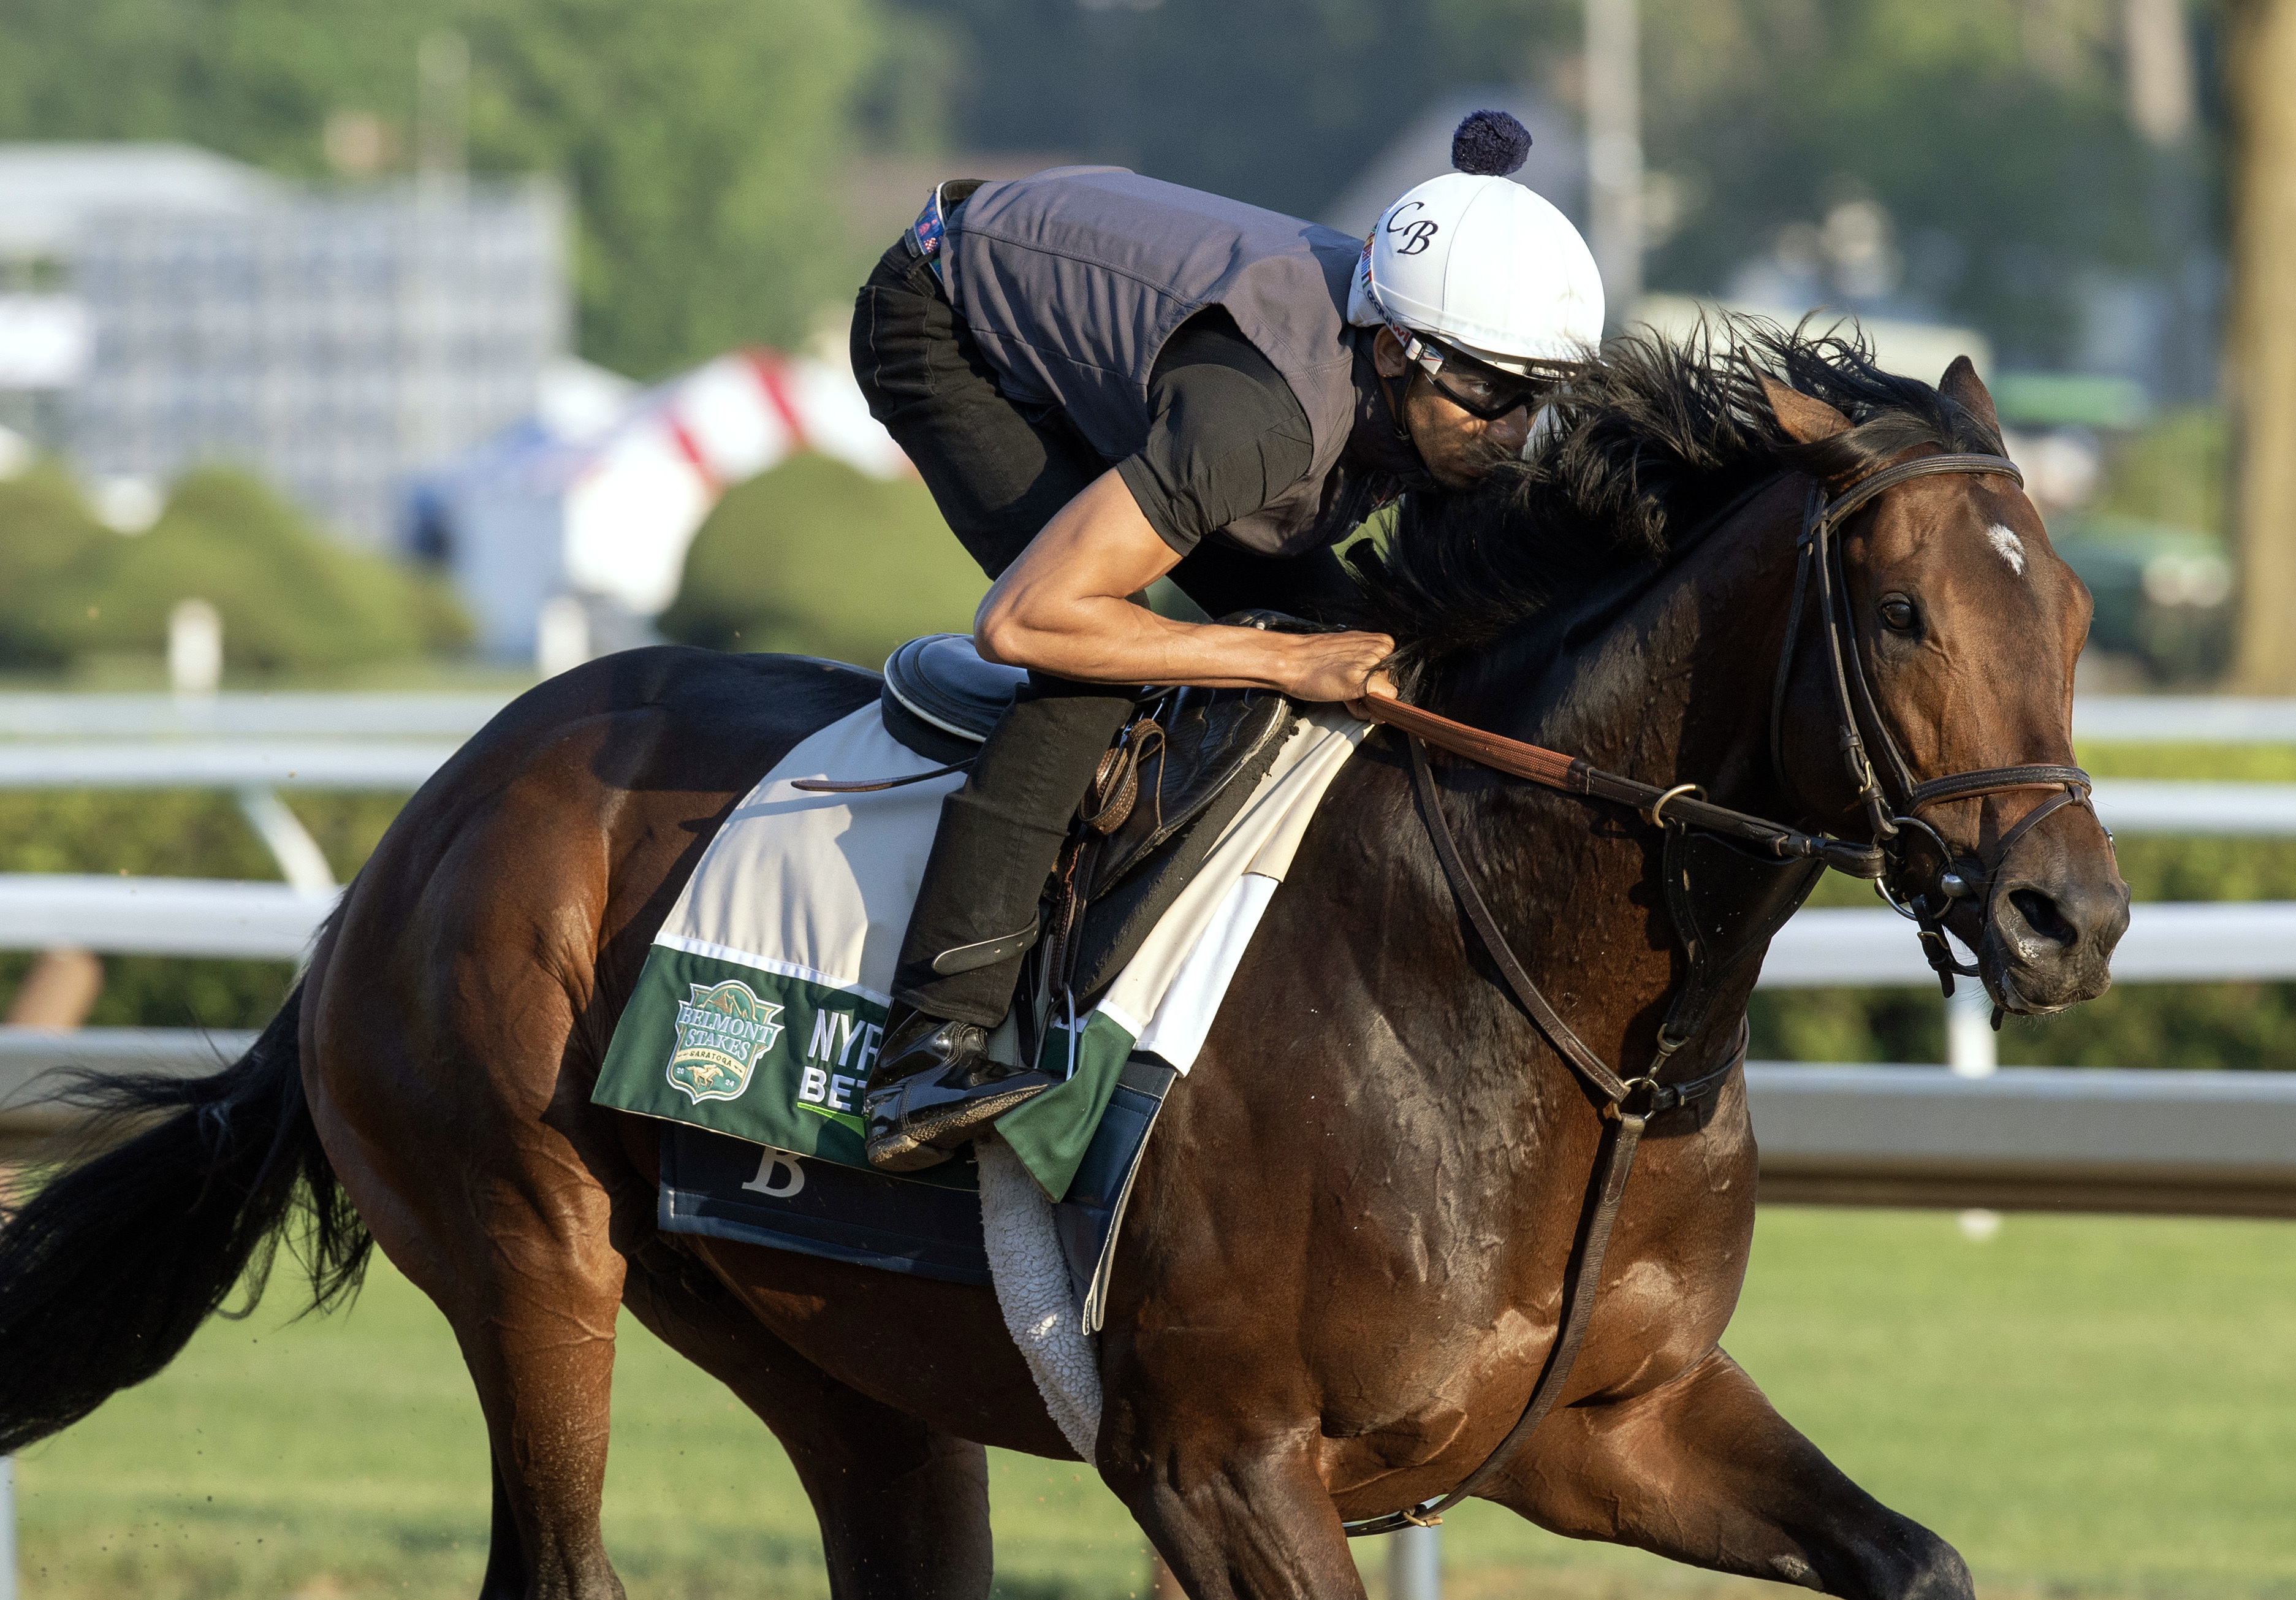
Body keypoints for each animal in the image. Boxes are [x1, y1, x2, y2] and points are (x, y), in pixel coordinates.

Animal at [0, 328, 2121, 1598]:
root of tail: (405, 842)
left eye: (2085, 613)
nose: (2070, 917)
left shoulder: (1609, 1422)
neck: (1538, 1008)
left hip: (823, 1348)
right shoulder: (1216, 1460)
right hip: (531, 1256)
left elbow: (1916, 1556)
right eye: (1905, 612)